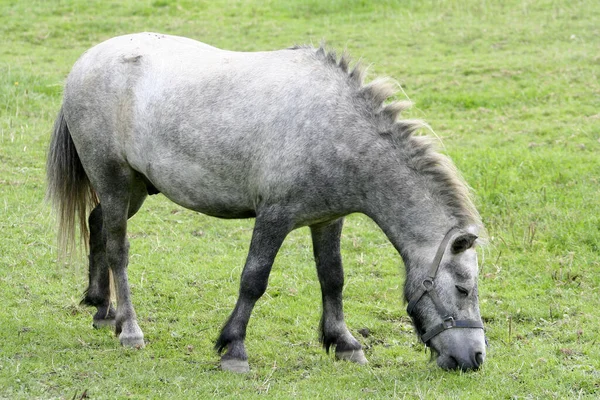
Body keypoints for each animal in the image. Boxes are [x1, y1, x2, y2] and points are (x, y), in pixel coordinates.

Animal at [47, 32, 488, 374]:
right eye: (464, 288)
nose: (476, 358)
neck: (336, 129)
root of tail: (87, 61)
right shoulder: (274, 217)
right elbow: (253, 279)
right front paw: (234, 350)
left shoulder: (328, 220)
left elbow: (333, 277)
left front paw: (345, 344)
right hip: (114, 181)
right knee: (118, 250)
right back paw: (130, 329)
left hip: (133, 190)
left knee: (96, 225)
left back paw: (103, 311)